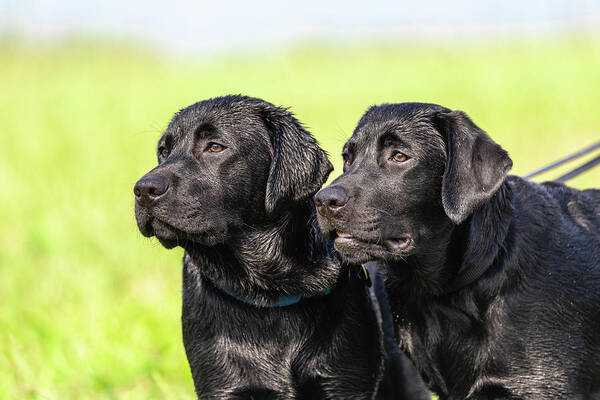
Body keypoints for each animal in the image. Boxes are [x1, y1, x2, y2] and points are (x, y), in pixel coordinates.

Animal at [134, 95, 428, 398]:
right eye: (163, 151)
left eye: (215, 147)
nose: (143, 189)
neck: (267, 294)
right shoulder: (221, 385)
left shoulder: (344, 383)